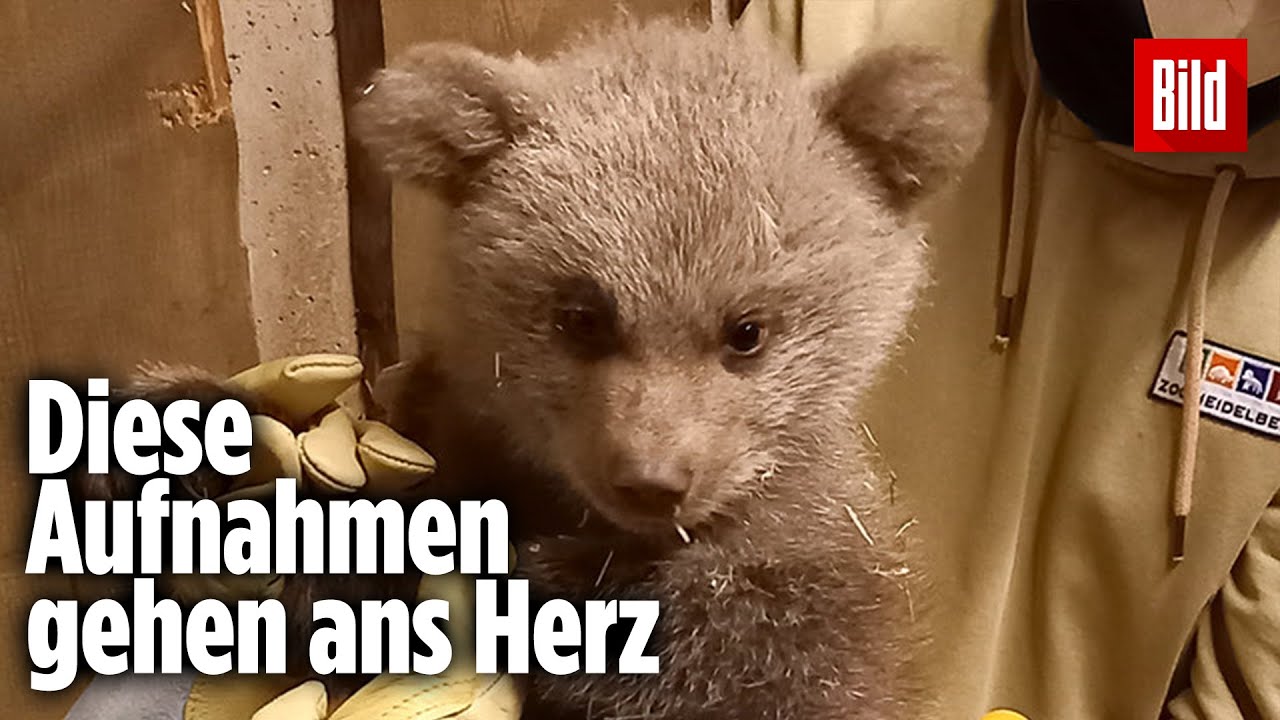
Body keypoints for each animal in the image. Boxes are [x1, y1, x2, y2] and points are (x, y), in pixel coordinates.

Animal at [84, 17, 987, 720]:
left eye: (747, 331)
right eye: (580, 316)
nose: (652, 480)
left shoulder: (821, 575)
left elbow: (753, 654)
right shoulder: (449, 430)